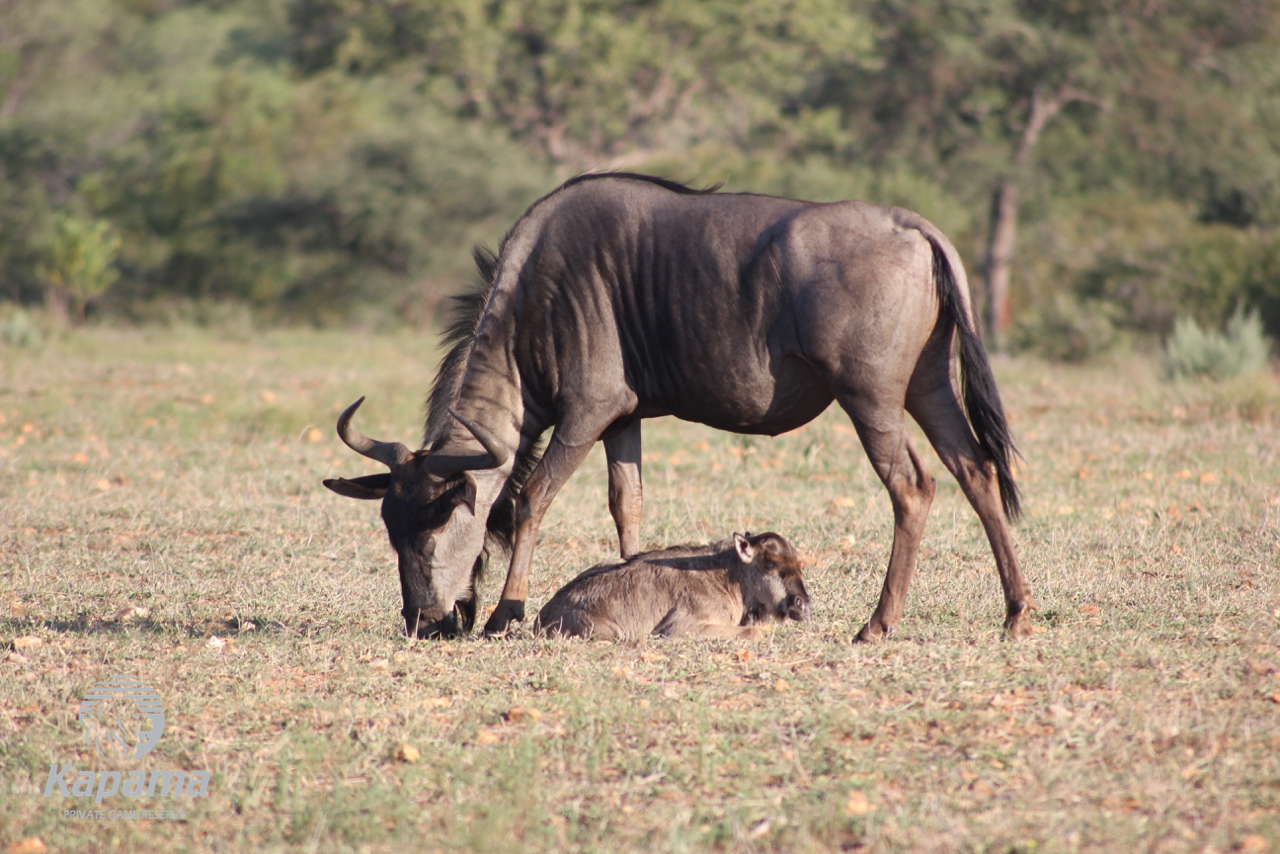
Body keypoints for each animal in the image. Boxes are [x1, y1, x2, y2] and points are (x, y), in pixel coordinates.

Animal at [533, 532, 811, 641]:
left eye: (800, 563)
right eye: (769, 563)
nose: (803, 605)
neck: (726, 576)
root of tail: (544, 616)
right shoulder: (678, 629)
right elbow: (754, 632)